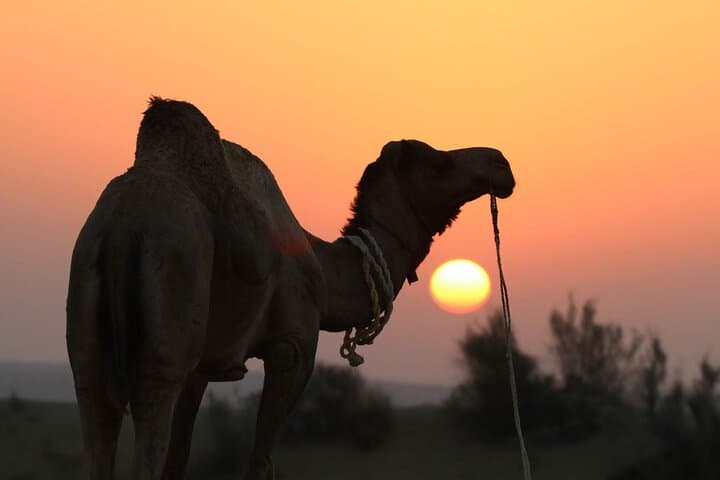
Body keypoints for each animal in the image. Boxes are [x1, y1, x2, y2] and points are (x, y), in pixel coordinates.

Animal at [66, 98, 515, 479]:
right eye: (438, 161)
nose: (501, 163)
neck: (325, 268)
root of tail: (124, 228)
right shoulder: (293, 347)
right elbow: (260, 462)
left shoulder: (202, 365)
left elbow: (180, 459)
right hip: (168, 320)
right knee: (149, 414)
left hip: (88, 326)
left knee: (96, 413)